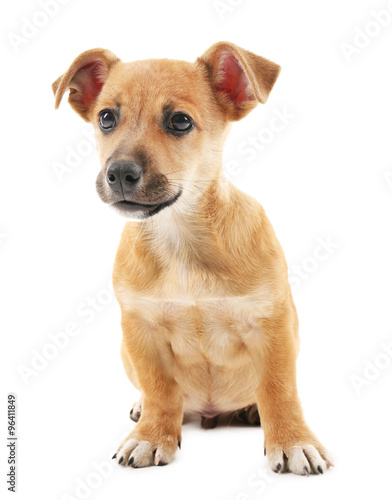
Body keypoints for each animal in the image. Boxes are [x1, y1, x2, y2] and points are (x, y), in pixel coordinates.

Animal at [53, 42, 332, 472]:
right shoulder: (140, 331)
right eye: (106, 118)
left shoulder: (273, 326)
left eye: (180, 122)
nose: (119, 173)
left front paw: (292, 440)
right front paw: (152, 434)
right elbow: (160, 389)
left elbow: (278, 389)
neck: (179, 237)